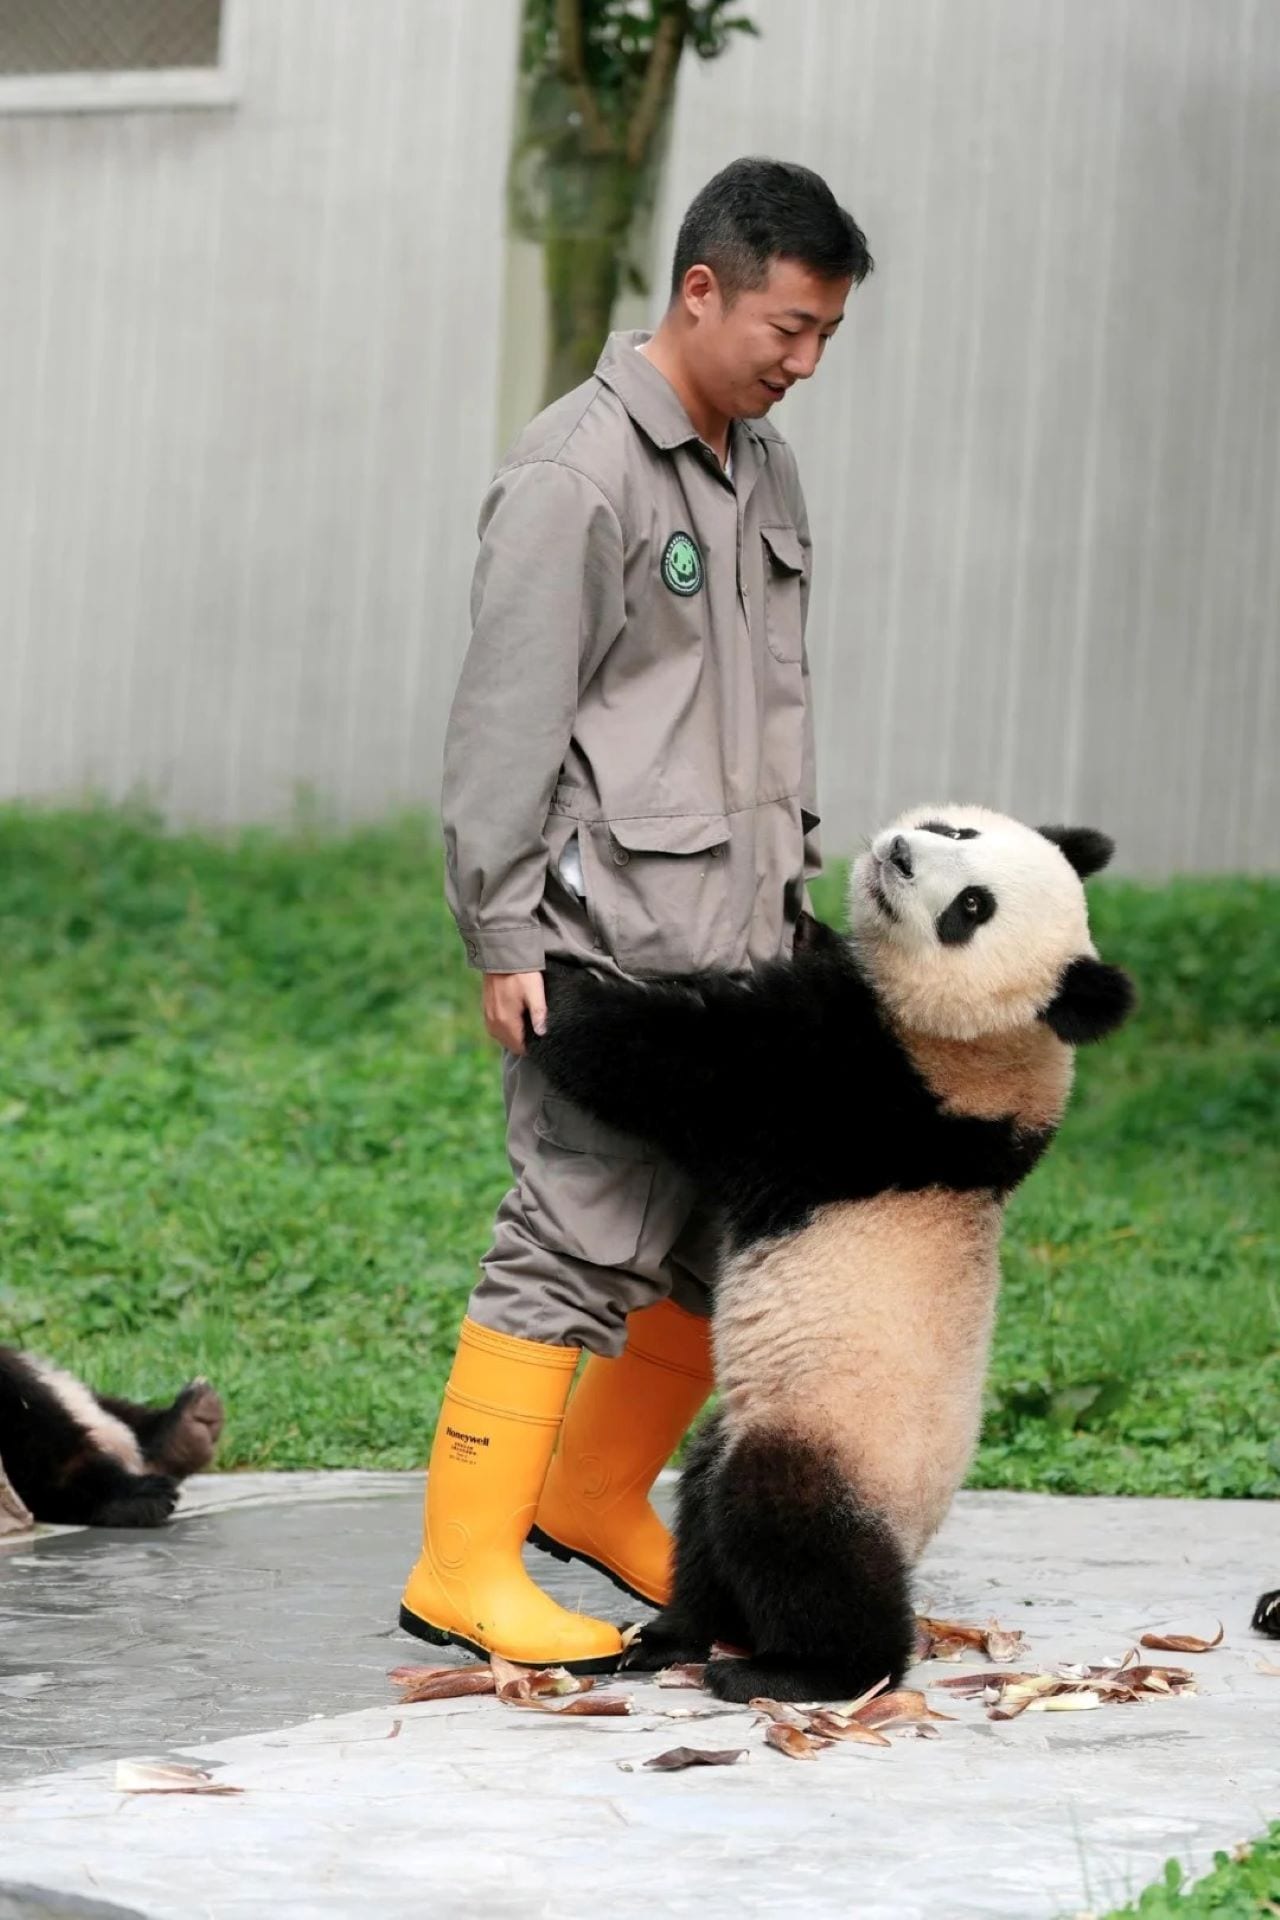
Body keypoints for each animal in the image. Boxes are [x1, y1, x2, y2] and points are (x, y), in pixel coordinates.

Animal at [529, 805, 1135, 1703]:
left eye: (973, 909)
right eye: (958, 832)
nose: (901, 853)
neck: (998, 1042)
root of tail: (909, 1541)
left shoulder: (869, 1097)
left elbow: (681, 1065)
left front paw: (551, 985)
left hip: (829, 1443)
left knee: (791, 1537)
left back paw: (794, 1671)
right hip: (748, 1429)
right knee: (705, 1514)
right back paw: (674, 1635)